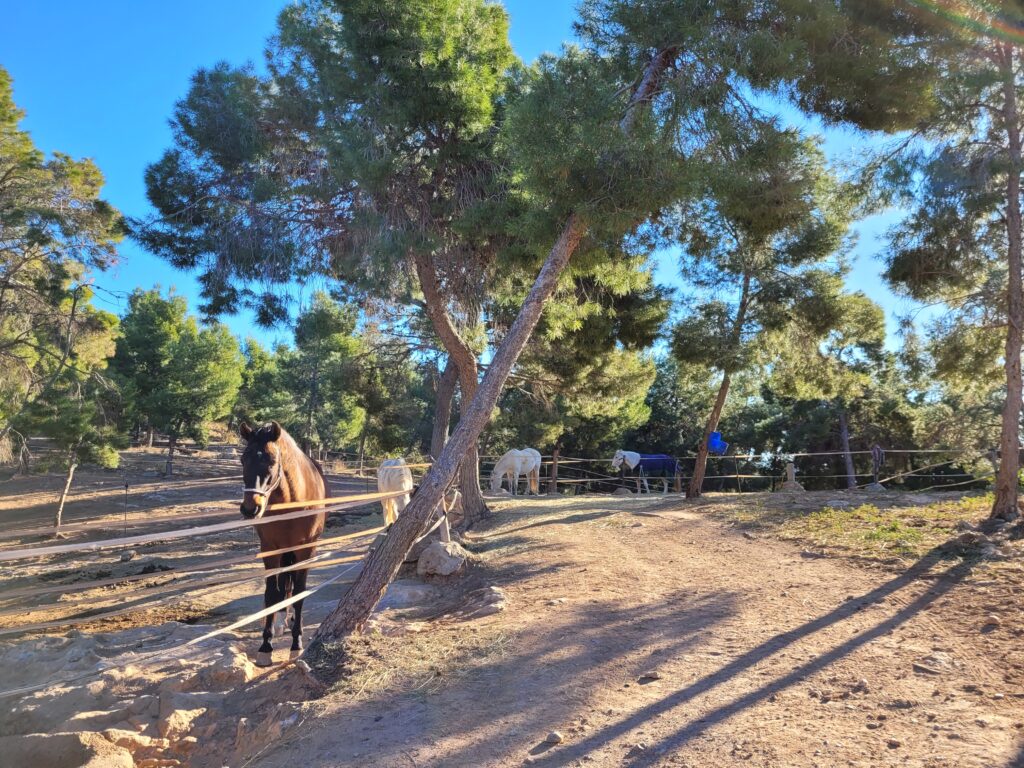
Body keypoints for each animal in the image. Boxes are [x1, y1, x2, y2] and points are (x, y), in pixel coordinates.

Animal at [237, 421, 325, 667]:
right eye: (243, 459)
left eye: (272, 461)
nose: (250, 508)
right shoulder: (270, 549)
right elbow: (271, 594)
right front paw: (265, 647)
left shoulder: (306, 550)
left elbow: (299, 592)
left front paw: (296, 645)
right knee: (283, 587)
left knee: (291, 586)